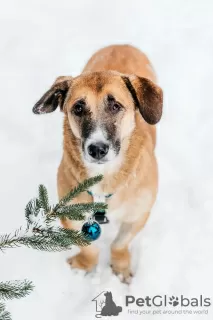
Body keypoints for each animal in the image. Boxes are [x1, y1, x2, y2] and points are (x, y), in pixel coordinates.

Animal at [32, 44, 163, 282]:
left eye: (115, 106)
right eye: (78, 108)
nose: (97, 149)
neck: (105, 178)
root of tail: (121, 44)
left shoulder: (138, 215)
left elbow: (119, 244)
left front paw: (120, 268)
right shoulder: (70, 216)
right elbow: (88, 247)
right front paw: (84, 266)